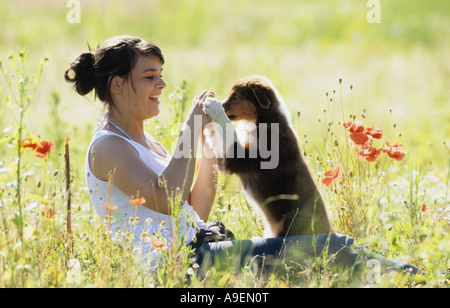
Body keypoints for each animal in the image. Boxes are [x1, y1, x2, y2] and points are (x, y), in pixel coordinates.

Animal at [204, 76, 334, 237]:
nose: (221, 103)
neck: (261, 121)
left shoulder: (240, 157)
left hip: (295, 217)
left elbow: (227, 129)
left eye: (236, 96)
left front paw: (213, 107)